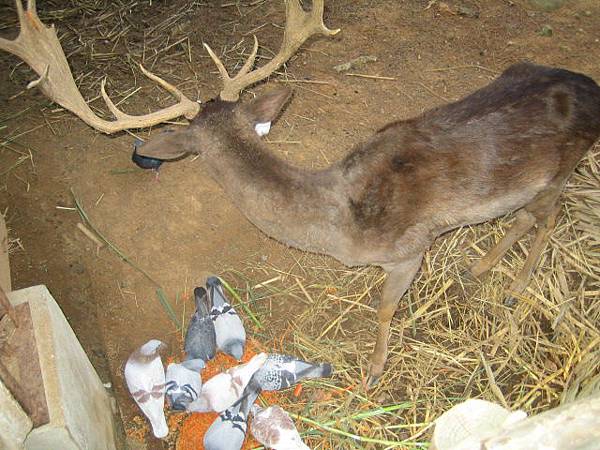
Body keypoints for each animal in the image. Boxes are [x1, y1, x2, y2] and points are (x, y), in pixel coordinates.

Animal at [3, 0, 600, 386]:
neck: (335, 221)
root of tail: (591, 88)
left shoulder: (408, 250)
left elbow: (384, 310)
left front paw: (374, 371)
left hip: (560, 170)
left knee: (548, 217)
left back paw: (515, 287)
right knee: (525, 217)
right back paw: (480, 268)